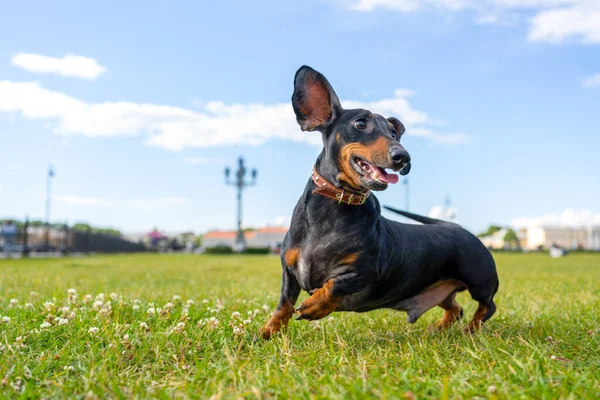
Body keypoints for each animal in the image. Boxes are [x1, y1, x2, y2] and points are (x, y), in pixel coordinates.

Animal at [260, 66, 500, 340]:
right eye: (360, 123)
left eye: (393, 133)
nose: (403, 157)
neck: (333, 210)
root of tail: (458, 227)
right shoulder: (289, 270)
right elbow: (284, 303)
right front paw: (267, 332)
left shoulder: (368, 270)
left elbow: (335, 284)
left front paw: (316, 305)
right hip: (442, 290)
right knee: (456, 308)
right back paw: (438, 329)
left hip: (480, 282)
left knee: (487, 306)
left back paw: (472, 328)